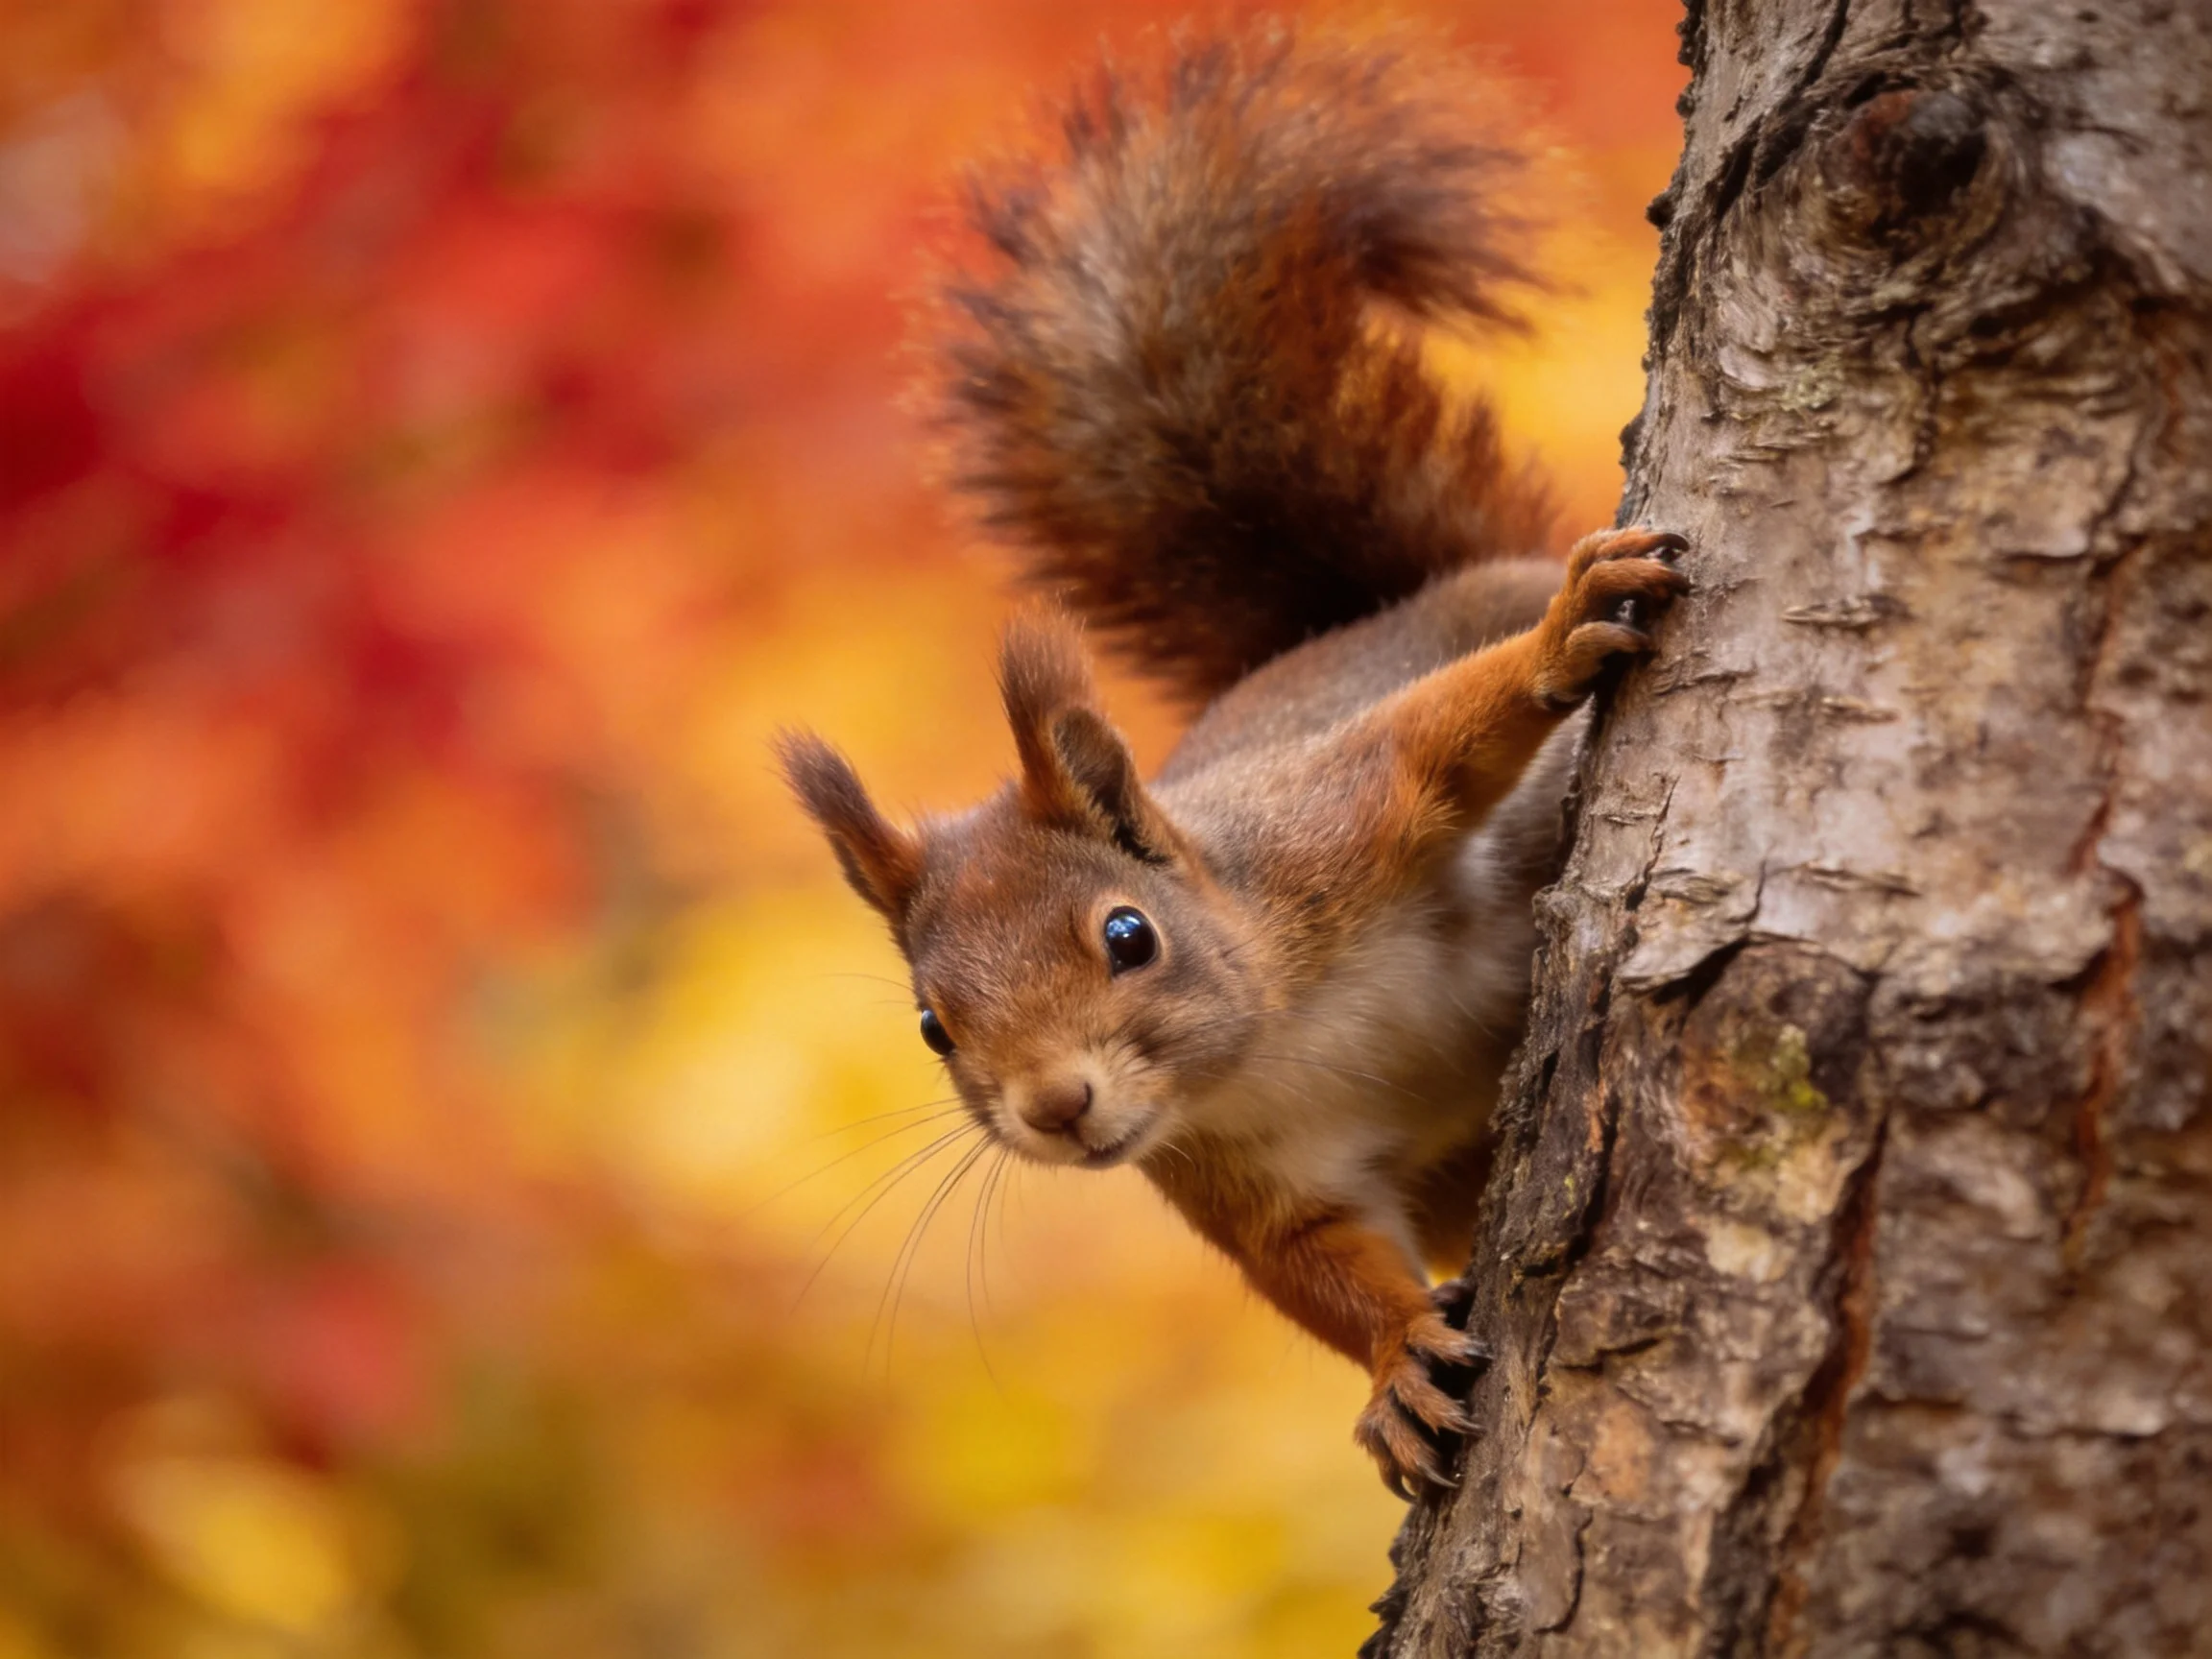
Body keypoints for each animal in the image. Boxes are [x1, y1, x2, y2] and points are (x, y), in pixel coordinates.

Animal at [779, 24, 1686, 1497]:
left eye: (1129, 934)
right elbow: (1315, 1266)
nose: (1059, 1106)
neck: (1274, 1042)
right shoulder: (1238, 1179)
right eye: (932, 1028)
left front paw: (1557, 643)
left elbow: (1437, 742)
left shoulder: (1336, 824)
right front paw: (1397, 1372)